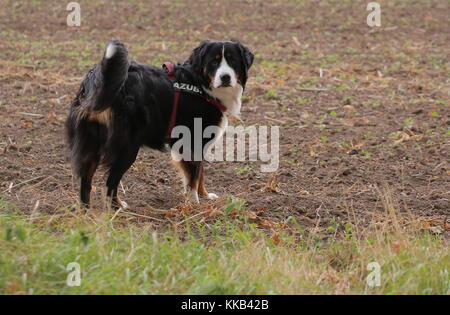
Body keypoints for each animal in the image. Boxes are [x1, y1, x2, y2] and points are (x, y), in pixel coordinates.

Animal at [64, 39, 253, 210]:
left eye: (233, 61)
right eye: (214, 61)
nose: (225, 77)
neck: (200, 85)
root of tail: (96, 77)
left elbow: (200, 174)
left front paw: (205, 196)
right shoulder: (191, 141)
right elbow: (194, 176)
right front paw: (195, 204)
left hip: (92, 143)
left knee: (86, 181)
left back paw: (87, 212)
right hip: (127, 147)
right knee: (111, 183)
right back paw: (117, 207)